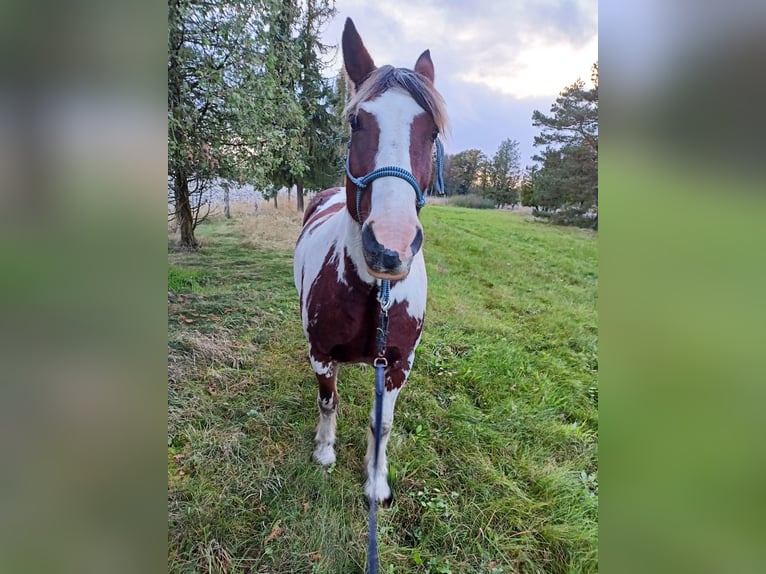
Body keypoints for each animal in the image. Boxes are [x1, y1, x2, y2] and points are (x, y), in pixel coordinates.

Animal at [294, 18, 450, 504]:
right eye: (356, 121)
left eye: (432, 132)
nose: (389, 246)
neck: (372, 295)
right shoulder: (321, 354)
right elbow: (328, 400)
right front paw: (325, 452)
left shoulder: (399, 366)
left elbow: (382, 424)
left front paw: (376, 481)